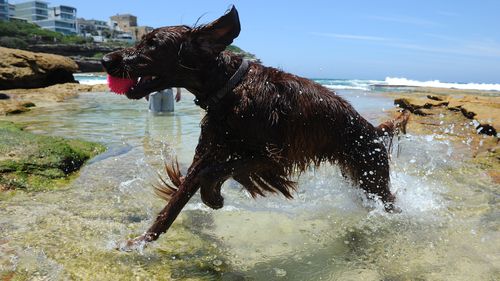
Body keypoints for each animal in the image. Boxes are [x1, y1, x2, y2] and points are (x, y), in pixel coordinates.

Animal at [100, 6, 406, 248]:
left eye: (152, 44)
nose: (104, 60)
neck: (229, 87)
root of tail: (373, 131)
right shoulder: (211, 149)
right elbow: (176, 201)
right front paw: (138, 243)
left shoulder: (271, 156)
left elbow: (216, 171)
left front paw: (213, 197)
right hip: (360, 176)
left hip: (371, 174)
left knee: (389, 201)